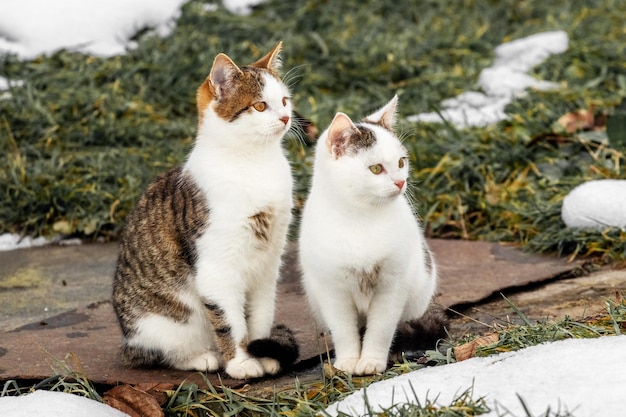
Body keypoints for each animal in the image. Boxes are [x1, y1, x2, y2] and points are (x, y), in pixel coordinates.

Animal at [112, 43, 298, 380]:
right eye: (260, 106)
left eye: (284, 100)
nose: (286, 117)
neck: (254, 162)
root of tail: (127, 341)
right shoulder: (216, 266)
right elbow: (228, 321)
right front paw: (240, 363)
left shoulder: (268, 264)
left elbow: (260, 315)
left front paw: (263, 353)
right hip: (167, 323)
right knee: (165, 352)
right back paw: (202, 358)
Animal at [298, 96, 436, 376]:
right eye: (375, 169)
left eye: (401, 162)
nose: (400, 183)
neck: (362, 217)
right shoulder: (333, 289)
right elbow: (343, 330)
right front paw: (348, 361)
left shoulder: (392, 285)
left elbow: (381, 329)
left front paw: (371, 361)